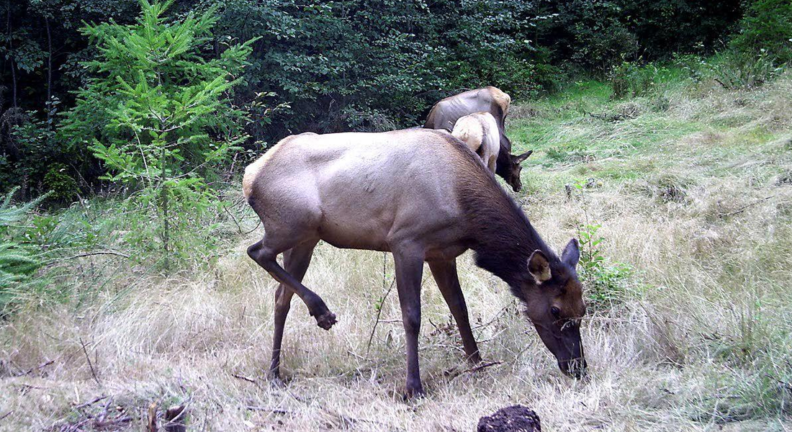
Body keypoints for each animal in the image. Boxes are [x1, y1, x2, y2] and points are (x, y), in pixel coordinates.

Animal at [243, 128, 587, 398]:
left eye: (582, 310)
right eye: (555, 310)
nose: (578, 366)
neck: (466, 212)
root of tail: (250, 176)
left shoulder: (441, 253)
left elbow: (459, 309)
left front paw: (477, 364)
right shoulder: (406, 242)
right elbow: (412, 316)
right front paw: (413, 387)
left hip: (306, 239)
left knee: (280, 297)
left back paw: (275, 373)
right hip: (295, 223)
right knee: (256, 251)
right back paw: (322, 311)